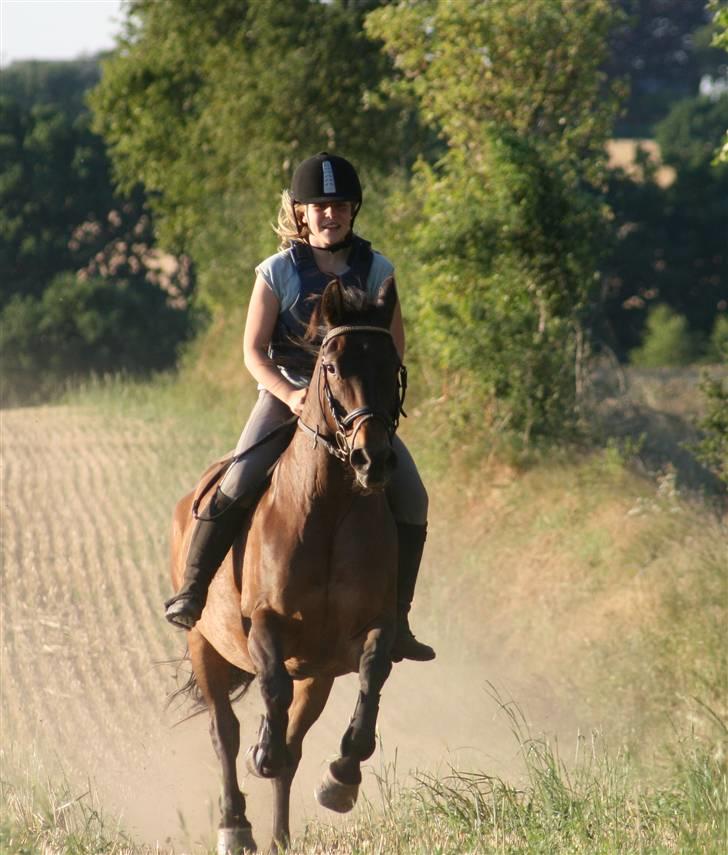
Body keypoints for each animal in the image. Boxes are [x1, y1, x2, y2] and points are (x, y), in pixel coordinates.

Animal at [169, 277, 406, 853]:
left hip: (316, 676)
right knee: (224, 731)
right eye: (332, 366)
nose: (373, 459)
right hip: (203, 644)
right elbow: (270, 690)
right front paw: (265, 749)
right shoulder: (264, 624)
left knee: (295, 744)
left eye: (393, 365)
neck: (329, 510)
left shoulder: (370, 628)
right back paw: (236, 824)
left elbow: (373, 673)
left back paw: (279, 831)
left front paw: (341, 778)